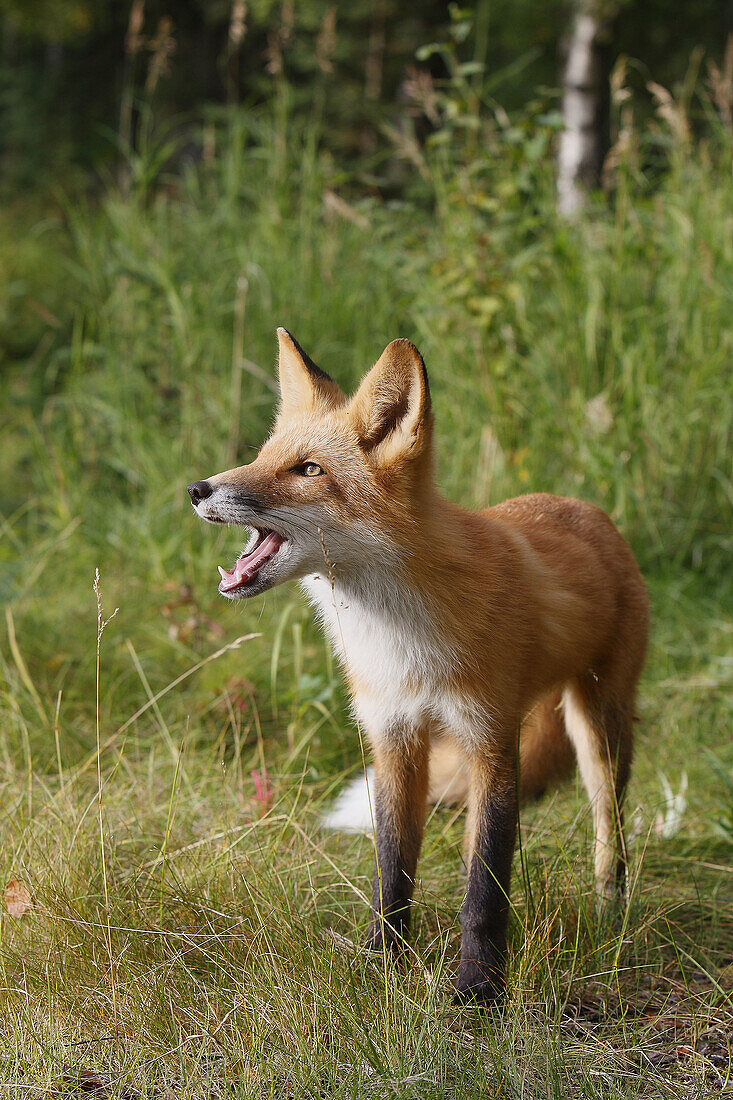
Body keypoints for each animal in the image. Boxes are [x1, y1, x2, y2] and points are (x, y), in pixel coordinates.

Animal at [188, 327, 647, 1007]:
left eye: (307, 470)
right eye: (263, 457)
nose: (197, 489)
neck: (404, 646)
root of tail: (588, 510)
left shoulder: (490, 740)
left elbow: (484, 888)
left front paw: (478, 990)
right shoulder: (392, 737)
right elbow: (394, 871)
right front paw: (383, 963)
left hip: (599, 732)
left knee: (607, 833)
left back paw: (610, 917)